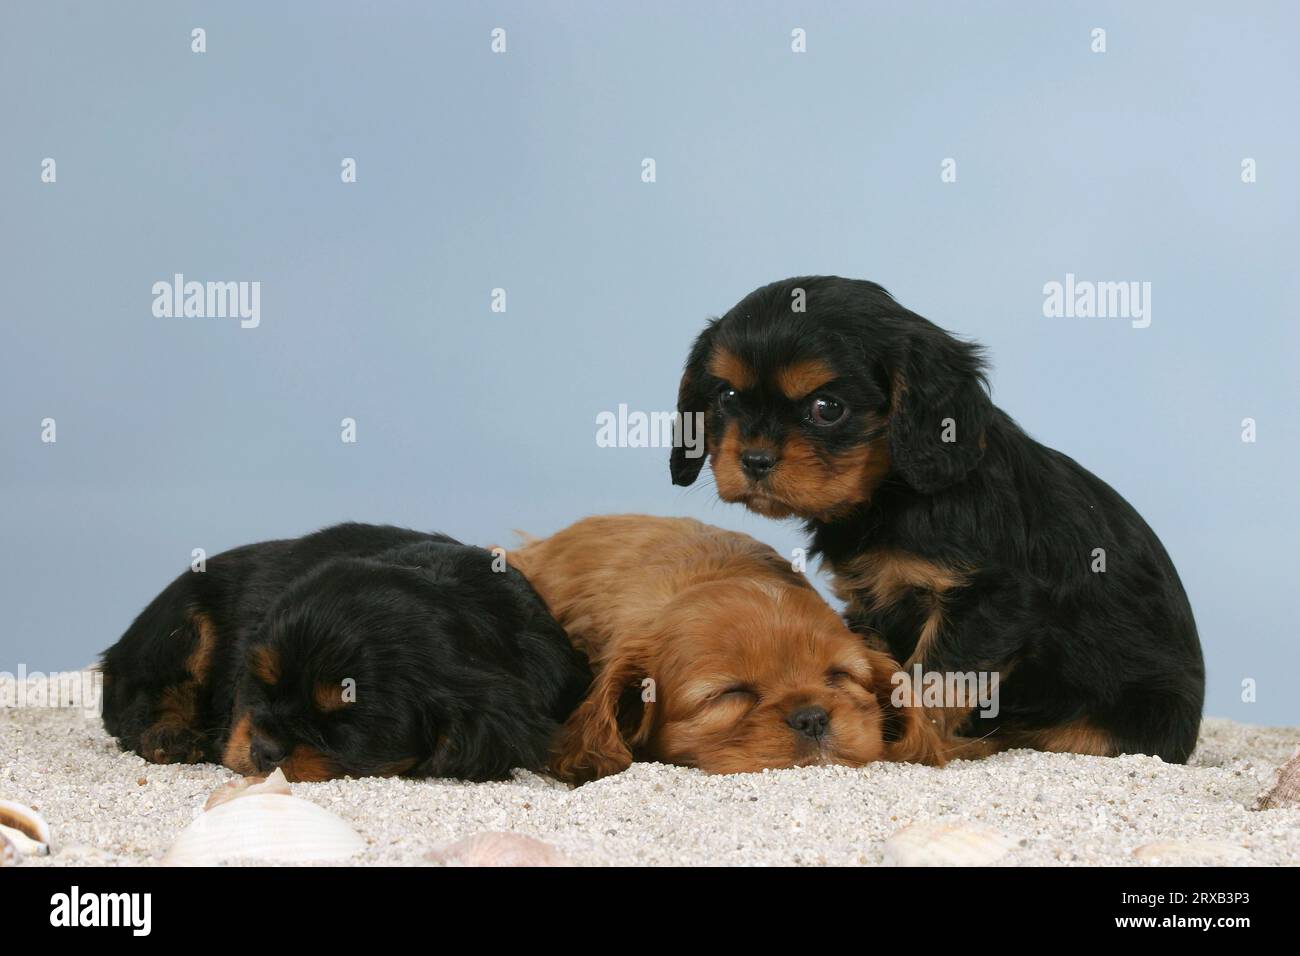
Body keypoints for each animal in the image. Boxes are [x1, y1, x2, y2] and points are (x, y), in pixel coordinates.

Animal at [676, 274, 1201, 764]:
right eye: (726, 397)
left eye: (827, 409)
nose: (754, 460)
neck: (895, 495)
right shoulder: (871, 603)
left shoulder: (986, 599)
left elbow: (930, 681)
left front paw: (908, 740)